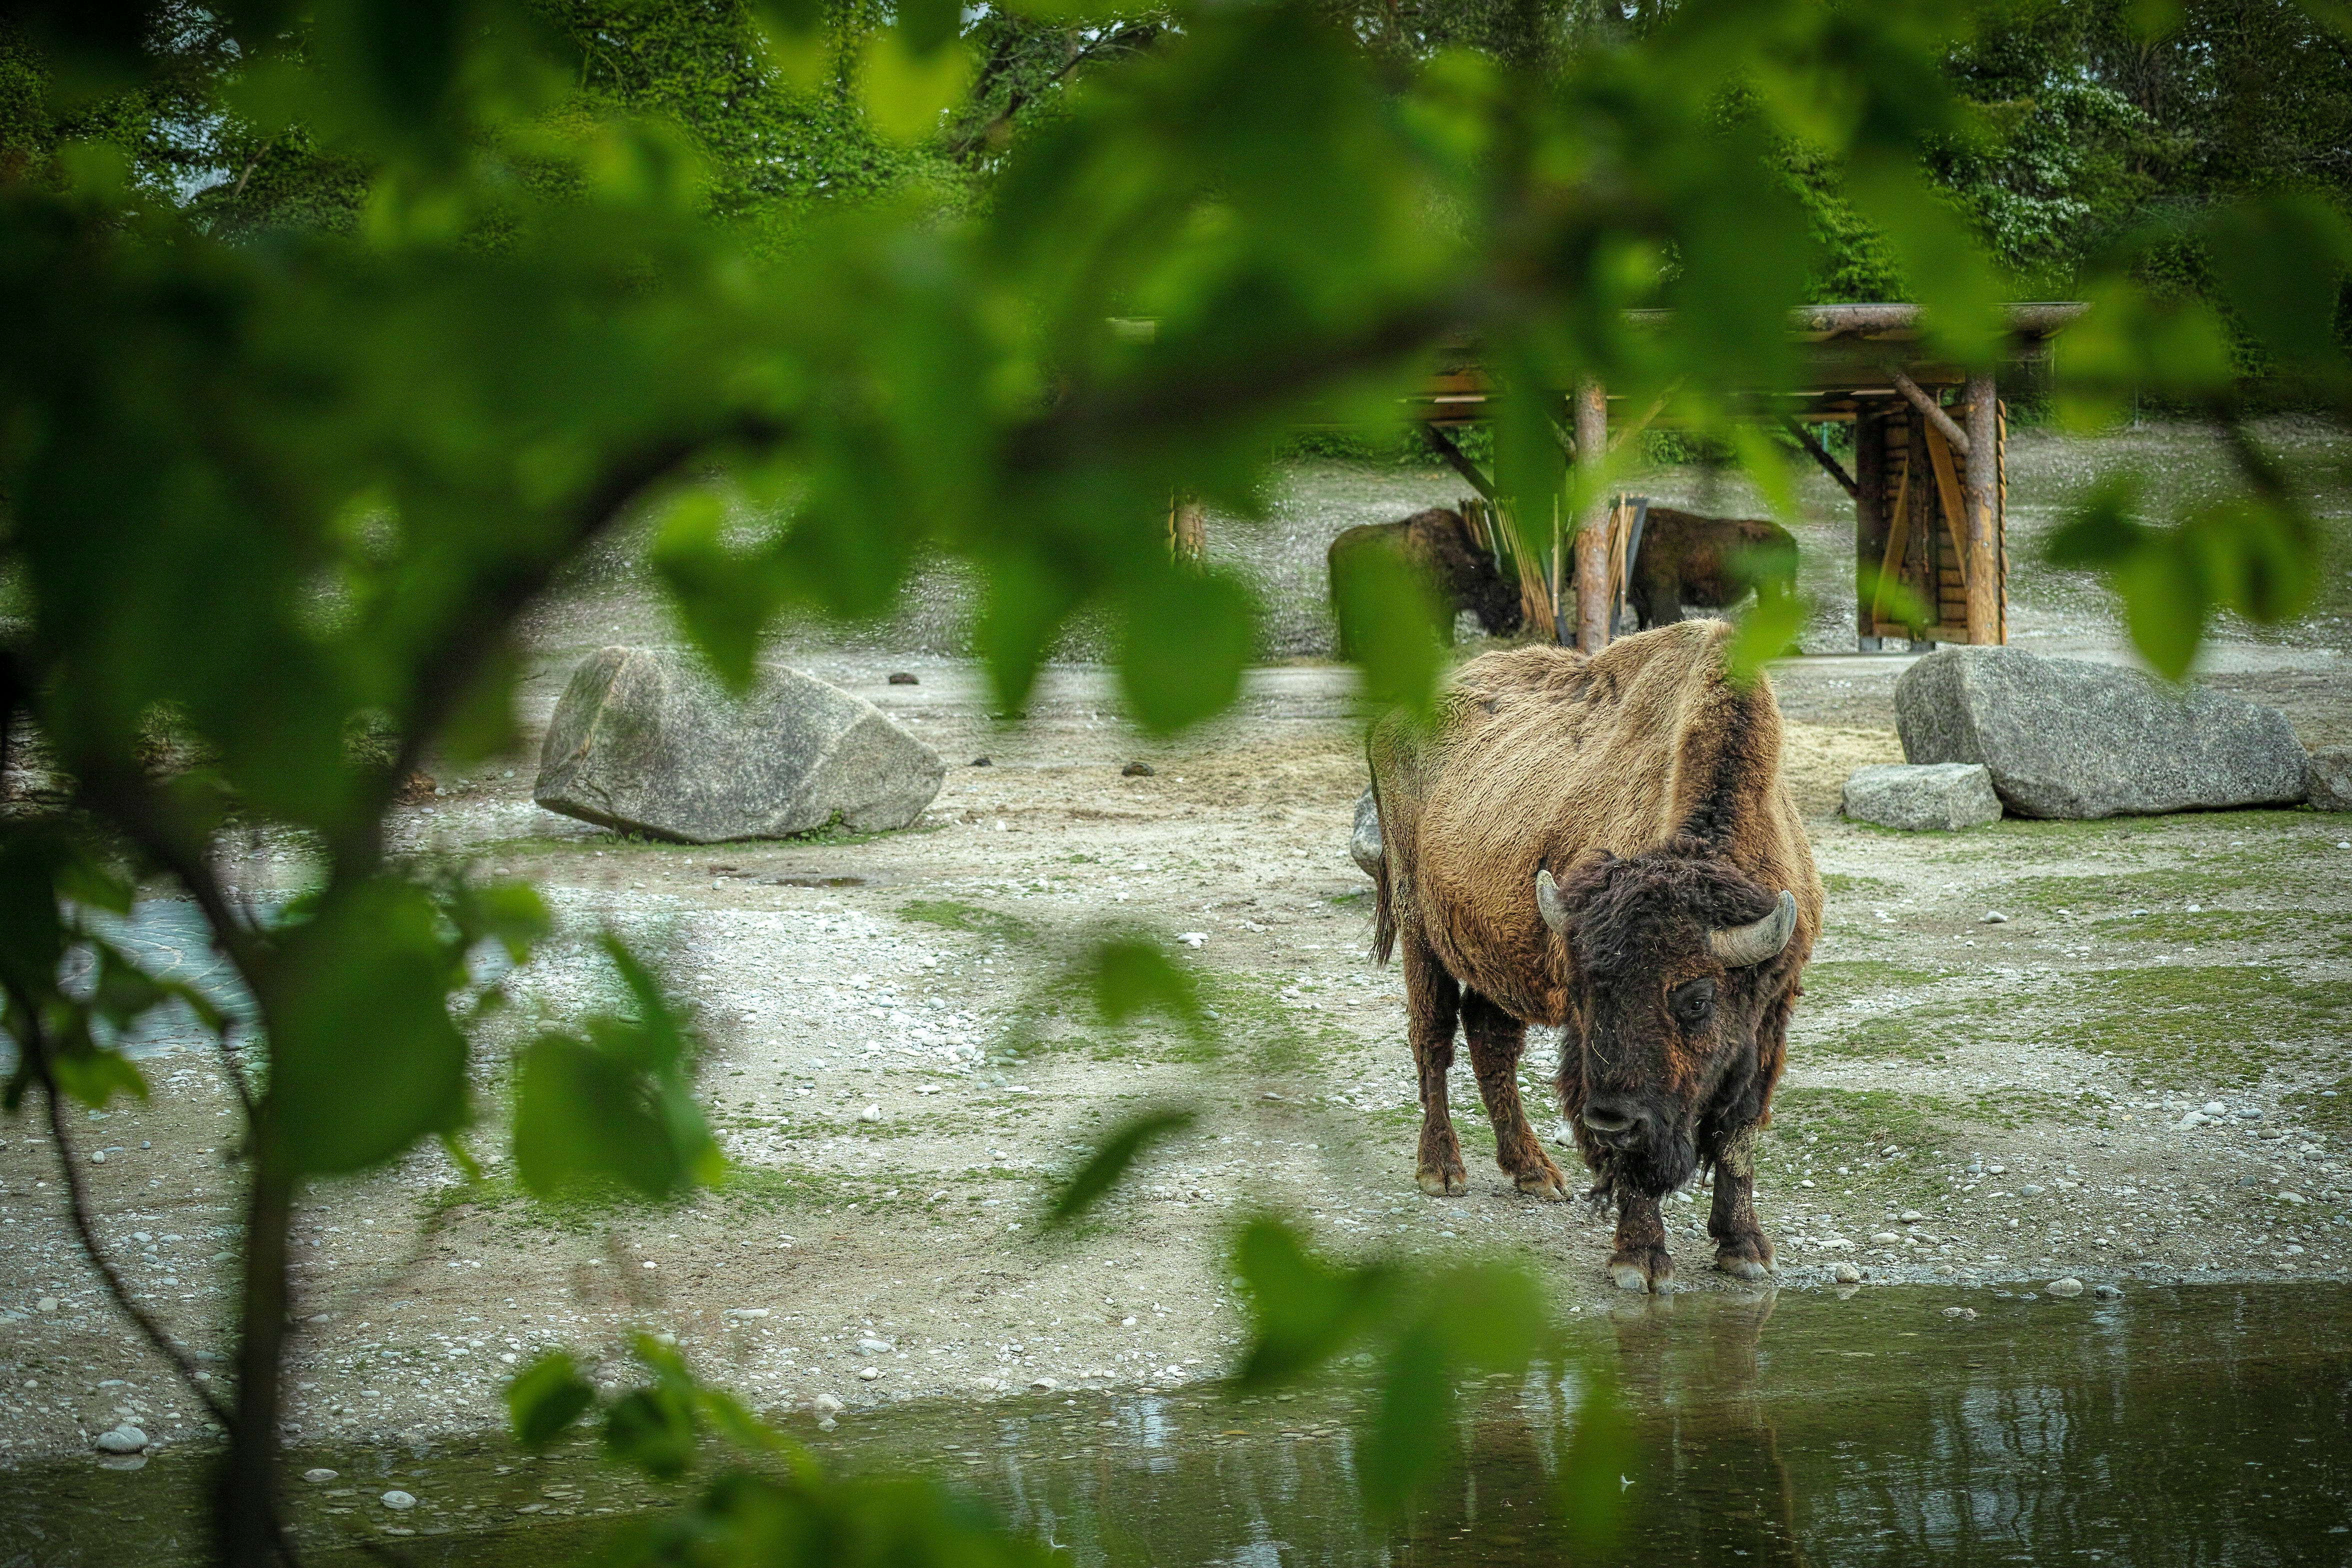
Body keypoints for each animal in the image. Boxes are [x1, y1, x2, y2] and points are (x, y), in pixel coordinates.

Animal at [1354, 620, 1825, 1298]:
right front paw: (1641, 1260)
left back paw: (1535, 1174)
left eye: (1696, 998)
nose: (1610, 1123)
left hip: (1498, 954)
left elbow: (1737, 1131)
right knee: (1433, 1040)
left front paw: (1746, 1249)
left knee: (1489, 1039)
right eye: (1582, 993)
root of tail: (1392, 716)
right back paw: (1442, 1170)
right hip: (1421, 931)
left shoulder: (1772, 1013)